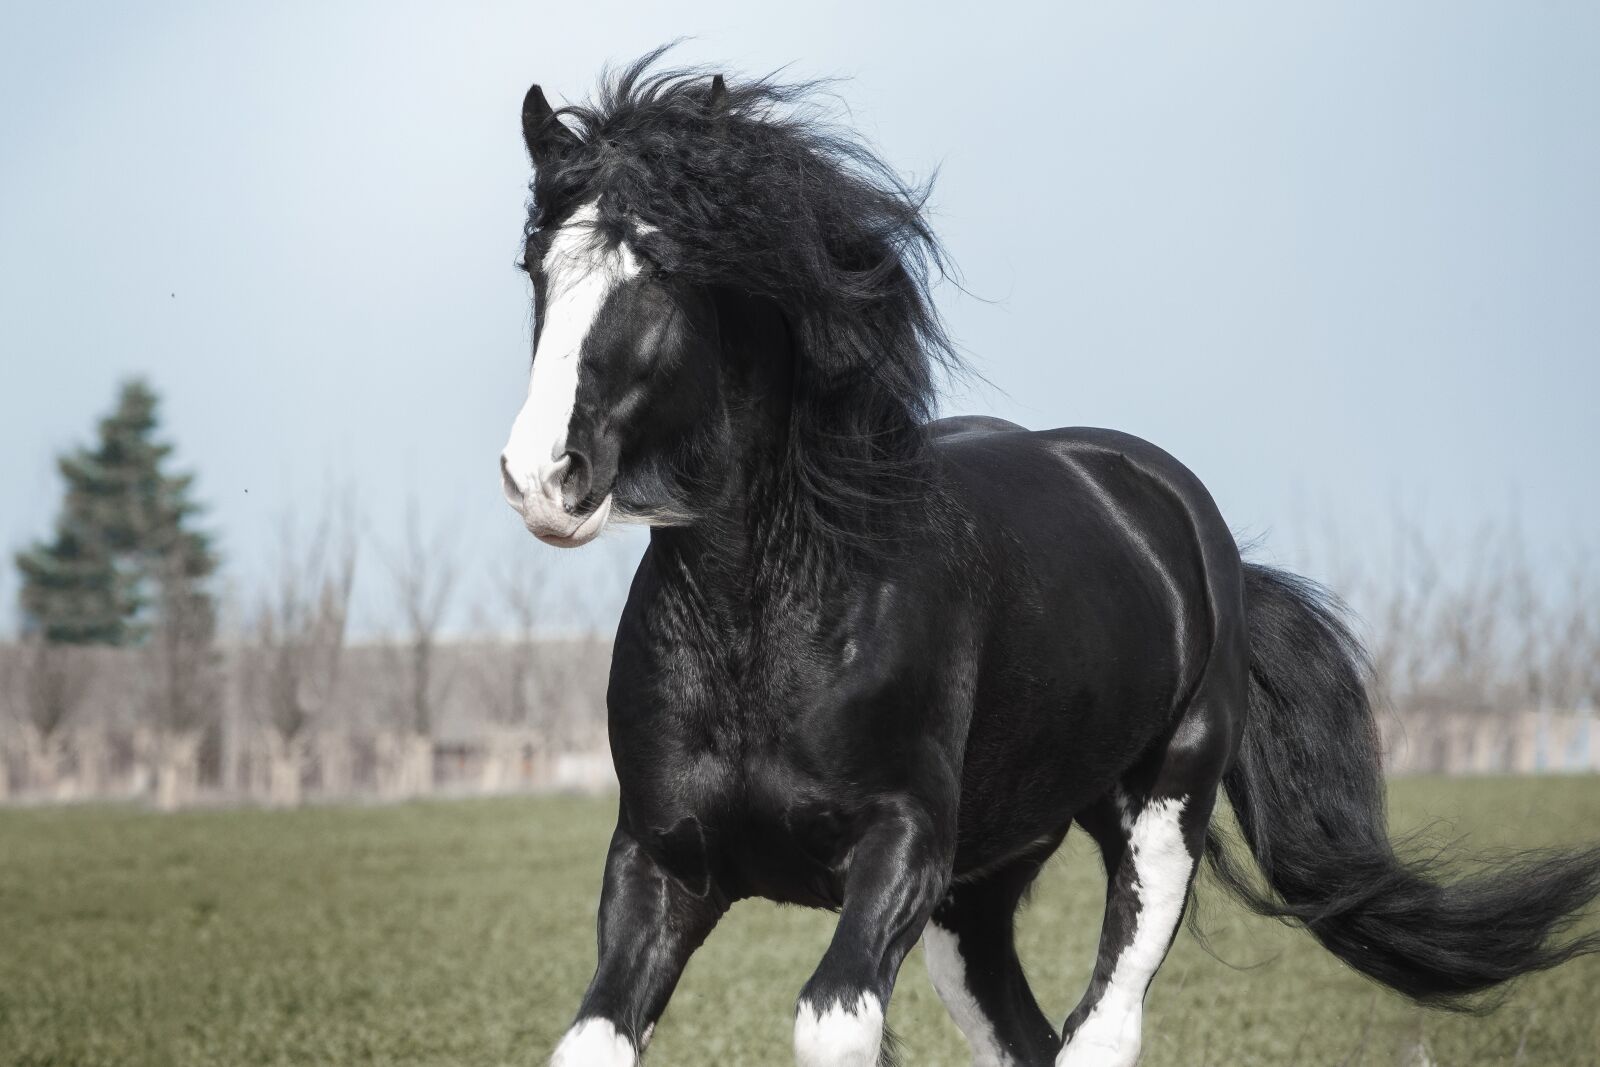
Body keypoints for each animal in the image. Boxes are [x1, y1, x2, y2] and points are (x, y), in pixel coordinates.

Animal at [497, 53, 1600, 1067]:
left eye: (661, 263)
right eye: (535, 266)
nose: (543, 475)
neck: (773, 617)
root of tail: (1185, 524)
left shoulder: (900, 847)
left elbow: (832, 1022)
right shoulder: (661, 860)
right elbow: (592, 1039)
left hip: (1158, 814)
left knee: (1100, 1027)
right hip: (980, 892)